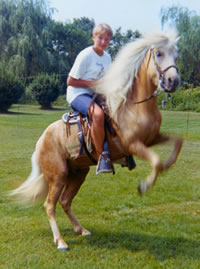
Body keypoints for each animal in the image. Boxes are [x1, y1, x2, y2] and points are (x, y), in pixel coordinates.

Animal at [10, 31, 183, 249]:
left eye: (176, 56)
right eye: (159, 53)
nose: (173, 81)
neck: (133, 106)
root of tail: (40, 142)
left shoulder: (151, 139)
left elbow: (178, 143)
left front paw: (166, 167)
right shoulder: (133, 144)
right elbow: (157, 161)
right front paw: (144, 186)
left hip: (78, 173)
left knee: (65, 201)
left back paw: (81, 229)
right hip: (58, 175)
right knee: (50, 205)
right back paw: (61, 241)